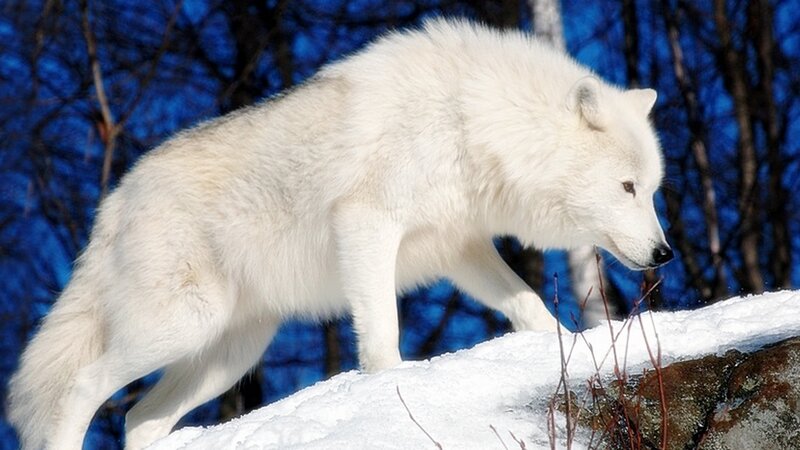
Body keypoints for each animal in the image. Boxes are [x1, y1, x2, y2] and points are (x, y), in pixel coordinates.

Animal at [8, 18, 672, 450]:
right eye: (628, 188)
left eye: (652, 188)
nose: (665, 253)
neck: (470, 120)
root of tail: (116, 199)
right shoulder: (368, 224)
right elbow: (382, 333)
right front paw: (391, 389)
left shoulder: (460, 248)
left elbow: (531, 306)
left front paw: (570, 347)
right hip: (180, 325)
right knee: (80, 389)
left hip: (230, 356)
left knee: (138, 420)